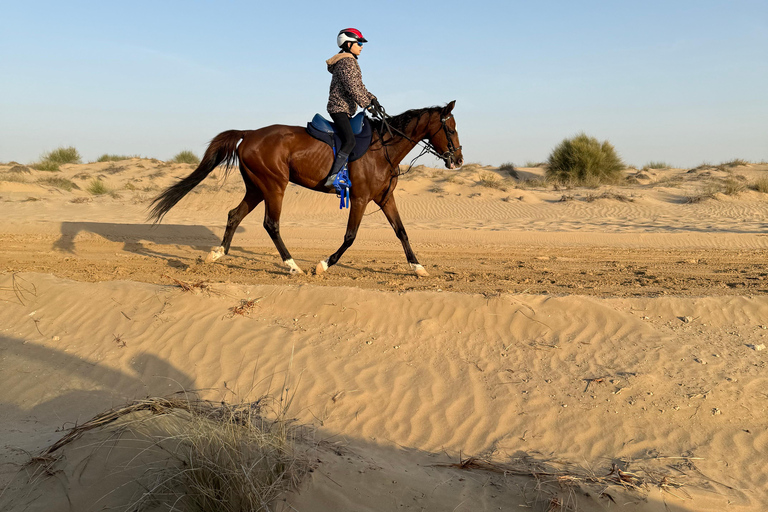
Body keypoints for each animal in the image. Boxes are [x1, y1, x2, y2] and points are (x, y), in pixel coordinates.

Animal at [148, 101, 463, 277]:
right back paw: (292, 265)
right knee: (271, 224)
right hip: (274, 186)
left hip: (257, 188)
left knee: (234, 215)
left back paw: (218, 254)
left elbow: (402, 232)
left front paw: (418, 268)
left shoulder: (385, 198)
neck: (384, 148)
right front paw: (323, 265)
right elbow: (350, 237)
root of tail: (249, 134)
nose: (458, 160)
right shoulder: (360, 198)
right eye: (451, 128)